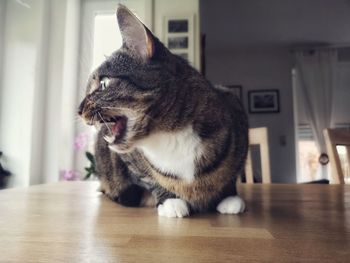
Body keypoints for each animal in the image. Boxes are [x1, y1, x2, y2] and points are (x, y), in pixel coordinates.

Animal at [79, 5, 249, 219]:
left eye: (103, 84)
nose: (78, 109)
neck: (169, 135)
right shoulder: (128, 159)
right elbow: (149, 179)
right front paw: (169, 201)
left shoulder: (236, 109)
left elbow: (232, 174)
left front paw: (229, 197)